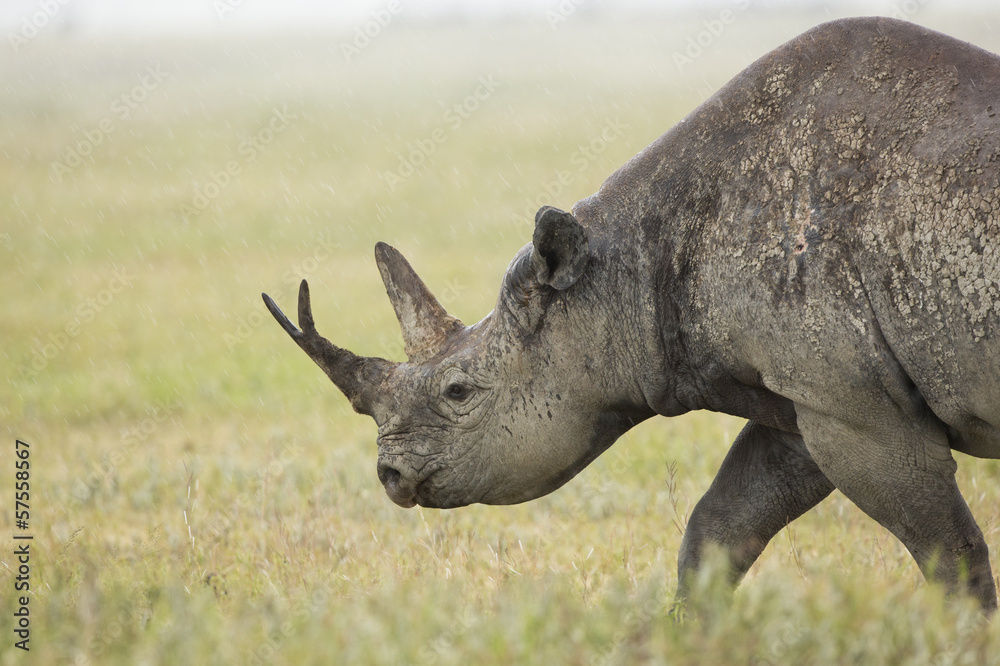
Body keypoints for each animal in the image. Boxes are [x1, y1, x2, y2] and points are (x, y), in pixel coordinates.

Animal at [263, 17, 1000, 611]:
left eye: (460, 392)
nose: (389, 476)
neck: (619, 274)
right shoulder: (819, 395)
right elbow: (720, 528)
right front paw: (692, 633)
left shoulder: (852, 404)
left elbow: (949, 555)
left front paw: (961, 637)